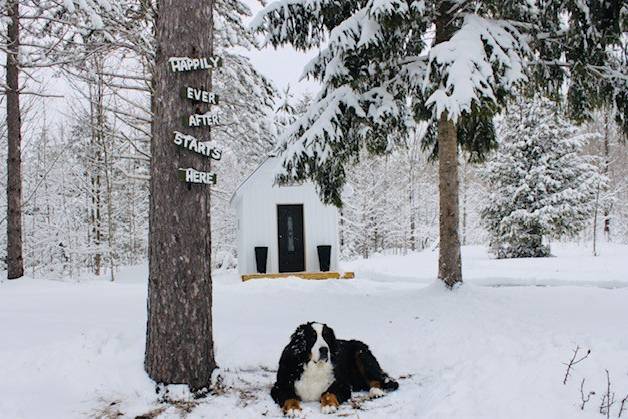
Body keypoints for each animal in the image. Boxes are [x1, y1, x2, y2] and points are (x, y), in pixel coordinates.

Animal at [270, 322, 398, 416]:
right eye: (312, 337)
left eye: (326, 336)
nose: (324, 349)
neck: (314, 368)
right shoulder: (280, 386)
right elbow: (289, 396)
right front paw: (292, 408)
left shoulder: (342, 385)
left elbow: (328, 393)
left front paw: (328, 405)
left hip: (360, 353)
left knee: (378, 378)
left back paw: (376, 391)